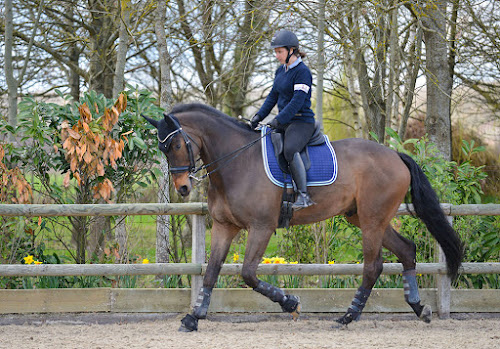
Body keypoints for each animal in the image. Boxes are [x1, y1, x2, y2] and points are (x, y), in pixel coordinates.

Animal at [143, 102, 462, 330]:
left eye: (176, 145)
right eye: (162, 148)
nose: (183, 188)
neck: (236, 162)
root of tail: (396, 155)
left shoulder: (261, 227)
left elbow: (248, 274)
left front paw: (291, 303)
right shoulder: (224, 227)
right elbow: (210, 272)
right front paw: (193, 317)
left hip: (373, 219)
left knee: (373, 266)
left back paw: (348, 316)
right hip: (364, 217)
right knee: (406, 250)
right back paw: (419, 308)